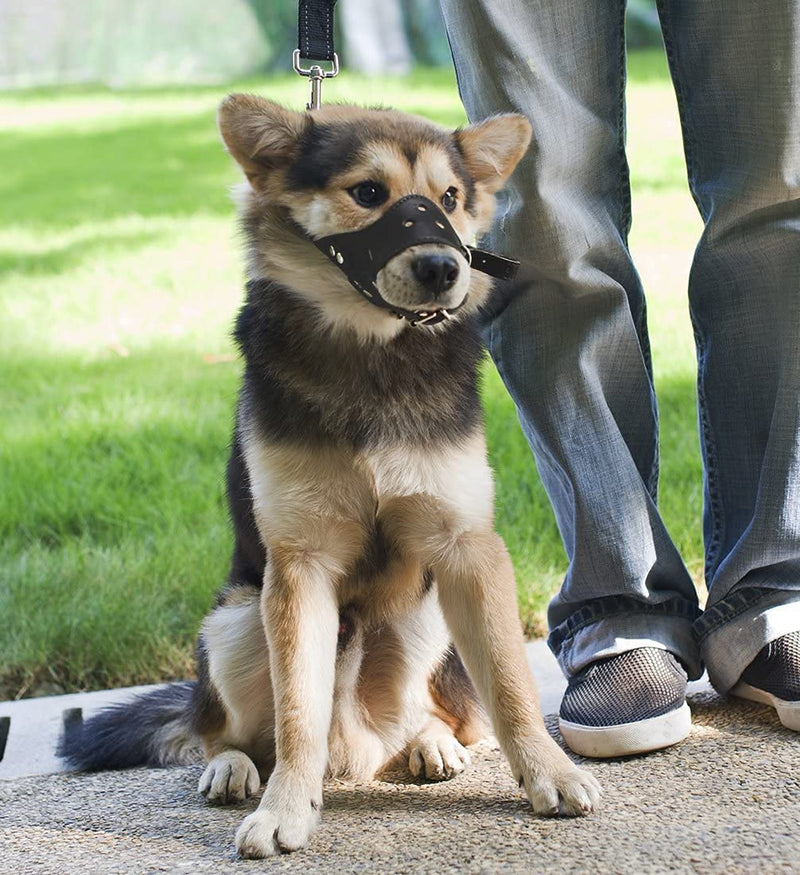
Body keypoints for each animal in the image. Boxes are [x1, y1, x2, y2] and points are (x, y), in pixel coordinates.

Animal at [61, 94, 600, 856]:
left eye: (450, 198)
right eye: (369, 193)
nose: (443, 267)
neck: (371, 355)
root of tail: (359, 750)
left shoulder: (469, 549)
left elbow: (511, 684)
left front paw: (548, 772)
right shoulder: (298, 565)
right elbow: (297, 713)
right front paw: (287, 808)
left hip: (427, 619)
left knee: (443, 716)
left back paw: (430, 744)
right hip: (233, 622)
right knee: (219, 728)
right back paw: (232, 767)